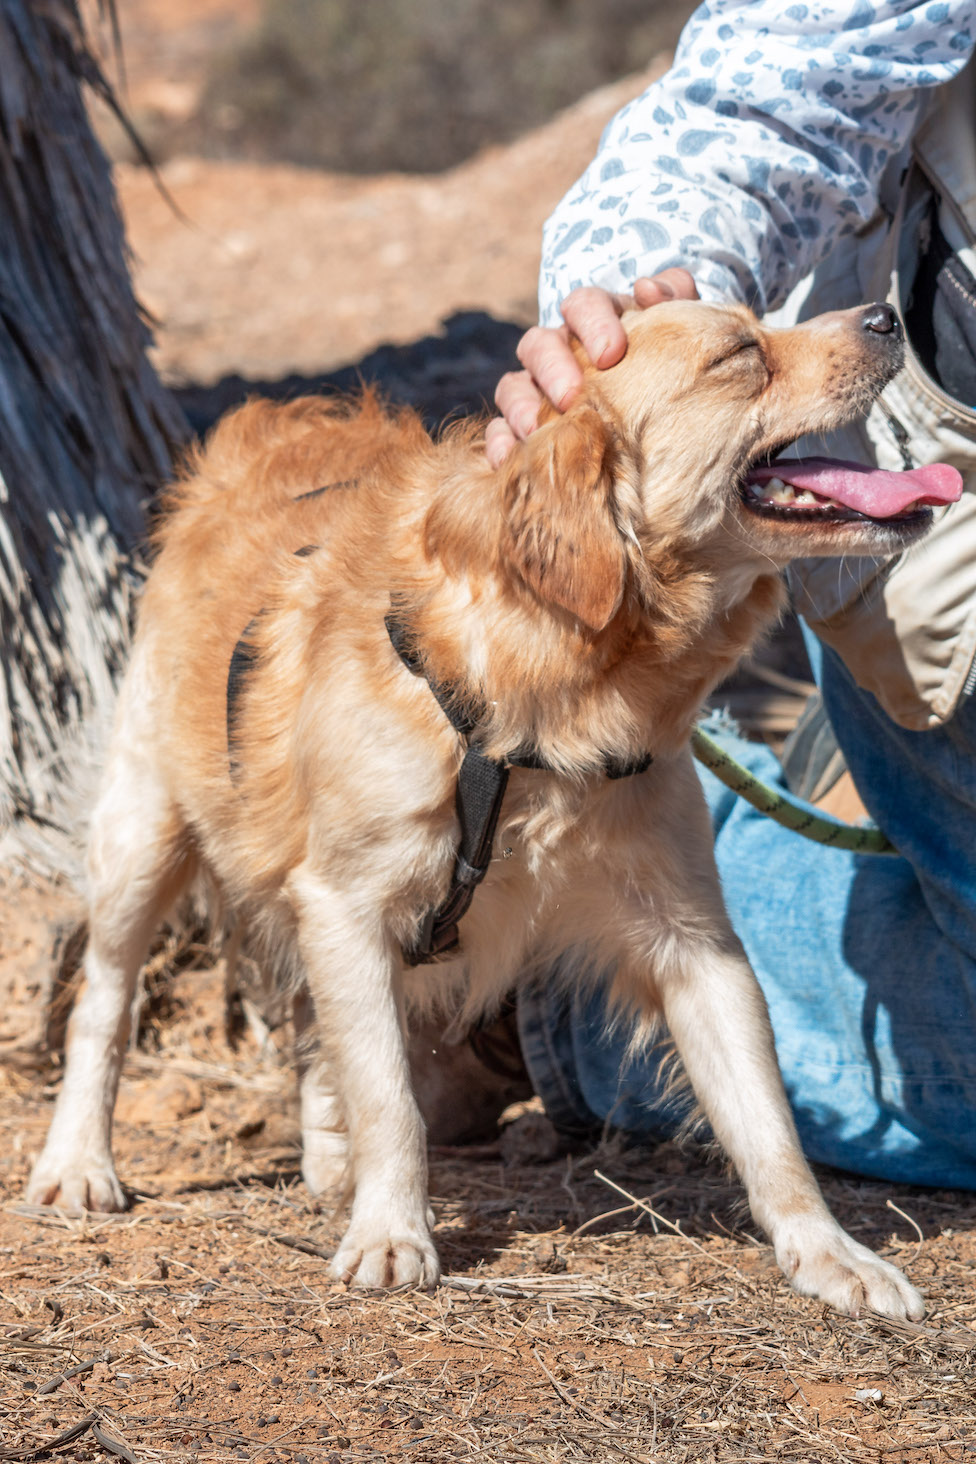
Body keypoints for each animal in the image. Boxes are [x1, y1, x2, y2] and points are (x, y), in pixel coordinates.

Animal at [26, 294, 959, 1317]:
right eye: (739, 354)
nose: (887, 314)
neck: (542, 699)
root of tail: (258, 430)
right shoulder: (345, 903)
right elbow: (390, 1096)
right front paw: (394, 1231)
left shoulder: (693, 942)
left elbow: (767, 1118)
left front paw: (828, 1252)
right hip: (141, 838)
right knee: (105, 1003)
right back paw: (79, 1161)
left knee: (310, 1024)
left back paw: (329, 1161)